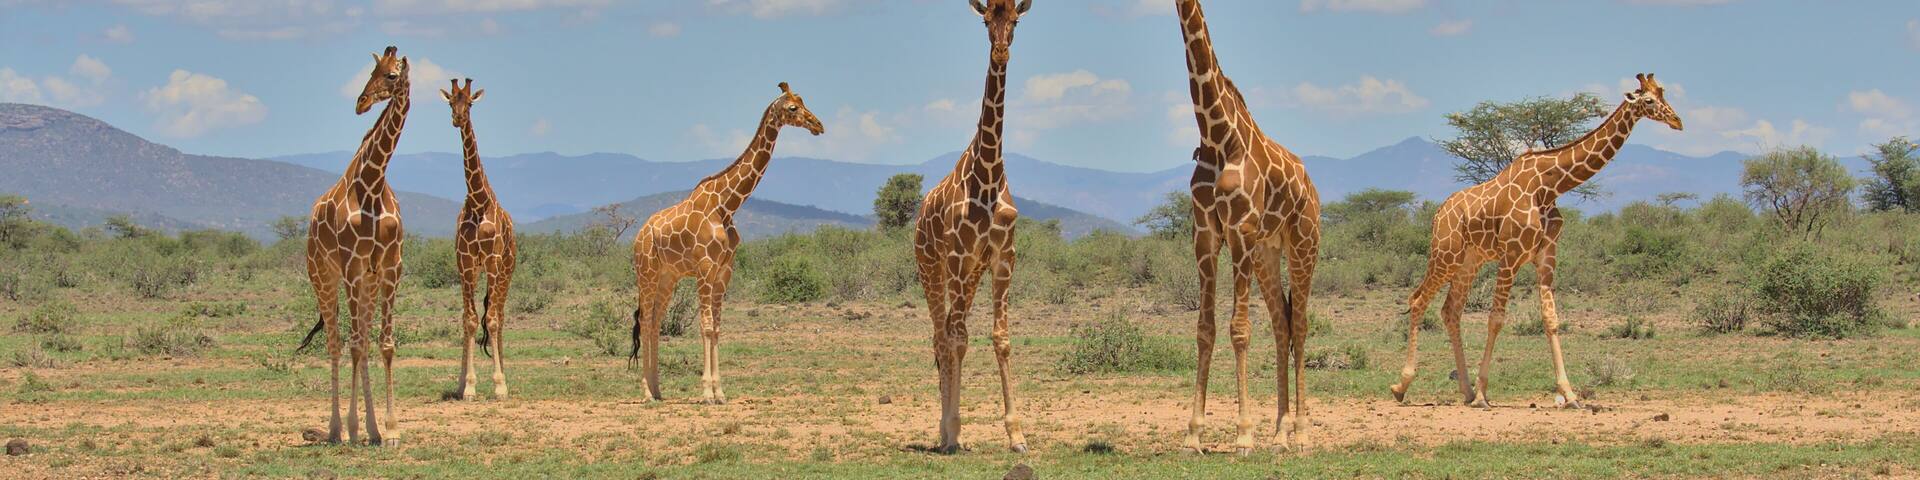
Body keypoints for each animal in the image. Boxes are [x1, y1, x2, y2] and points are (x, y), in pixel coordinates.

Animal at [298, 45, 412, 445]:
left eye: (391, 75)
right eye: (370, 72)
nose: (361, 102)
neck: (373, 185)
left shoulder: (390, 267)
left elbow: (384, 345)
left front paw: (390, 430)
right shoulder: (349, 266)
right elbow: (356, 344)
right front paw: (350, 426)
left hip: (368, 282)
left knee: (358, 338)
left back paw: (370, 430)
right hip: (323, 277)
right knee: (336, 342)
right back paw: (336, 430)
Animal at [628, 82, 824, 405]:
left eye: (804, 101)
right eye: (792, 107)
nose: (818, 125)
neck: (727, 205)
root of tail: (639, 234)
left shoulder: (724, 271)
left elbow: (718, 328)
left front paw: (720, 391)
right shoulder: (705, 268)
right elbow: (706, 327)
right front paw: (707, 392)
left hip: (668, 276)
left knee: (655, 321)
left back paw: (657, 390)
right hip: (647, 272)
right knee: (644, 322)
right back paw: (645, 392)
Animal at [911, 0, 1032, 455]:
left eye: (1015, 21)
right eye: (985, 21)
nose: (1001, 51)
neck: (989, 176)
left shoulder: (1003, 257)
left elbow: (1001, 338)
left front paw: (1017, 435)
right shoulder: (961, 255)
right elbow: (959, 340)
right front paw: (953, 429)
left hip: (971, 271)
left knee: (947, 331)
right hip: (933, 267)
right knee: (942, 335)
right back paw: (947, 432)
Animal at [1174, 0, 1322, 454]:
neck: (1217, 134)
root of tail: (1312, 188)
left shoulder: (1239, 228)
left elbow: (1239, 329)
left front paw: (1243, 434)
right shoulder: (1205, 233)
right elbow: (1205, 329)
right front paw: (1193, 434)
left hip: (1304, 242)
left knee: (1301, 324)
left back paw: (1302, 433)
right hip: (1266, 251)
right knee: (1282, 324)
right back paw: (1280, 433)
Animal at [1389, 73, 1683, 409]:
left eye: (1664, 94)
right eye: (1648, 100)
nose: (1677, 121)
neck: (1550, 185)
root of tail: (1439, 213)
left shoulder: (1546, 255)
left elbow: (1550, 319)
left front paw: (1569, 395)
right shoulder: (1511, 255)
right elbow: (1496, 319)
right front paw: (1483, 394)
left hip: (1469, 261)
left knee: (1450, 310)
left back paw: (1464, 390)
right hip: (1445, 254)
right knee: (1417, 300)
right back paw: (1402, 385)